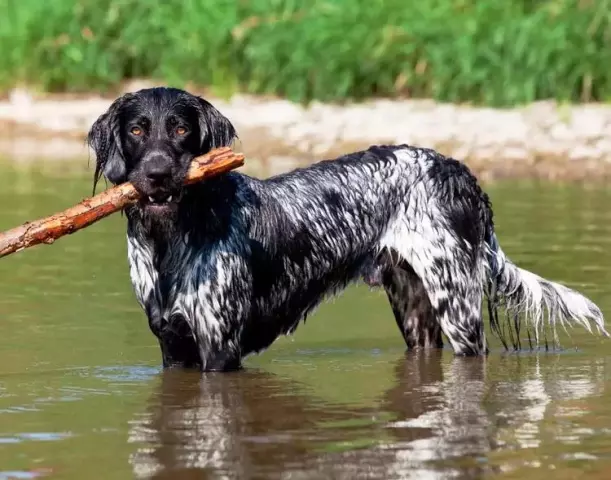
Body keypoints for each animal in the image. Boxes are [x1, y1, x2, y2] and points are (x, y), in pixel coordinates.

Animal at [88, 86, 608, 372]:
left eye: (180, 129)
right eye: (137, 130)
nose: (156, 174)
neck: (170, 240)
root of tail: (460, 173)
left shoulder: (220, 347)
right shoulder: (172, 347)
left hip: (458, 307)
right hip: (415, 311)